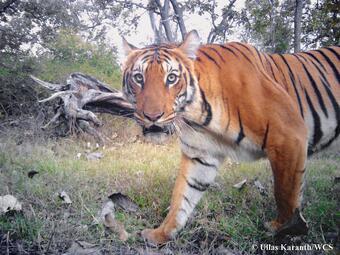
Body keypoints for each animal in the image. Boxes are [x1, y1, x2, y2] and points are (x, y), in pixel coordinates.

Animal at [121, 29, 338, 243]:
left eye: (172, 78)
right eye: (138, 78)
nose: (152, 116)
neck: (198, 115)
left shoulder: (289, 135)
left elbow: (285, 192)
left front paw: (285, 228)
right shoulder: (200, 153)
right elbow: (182, 195)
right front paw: (161, 233)